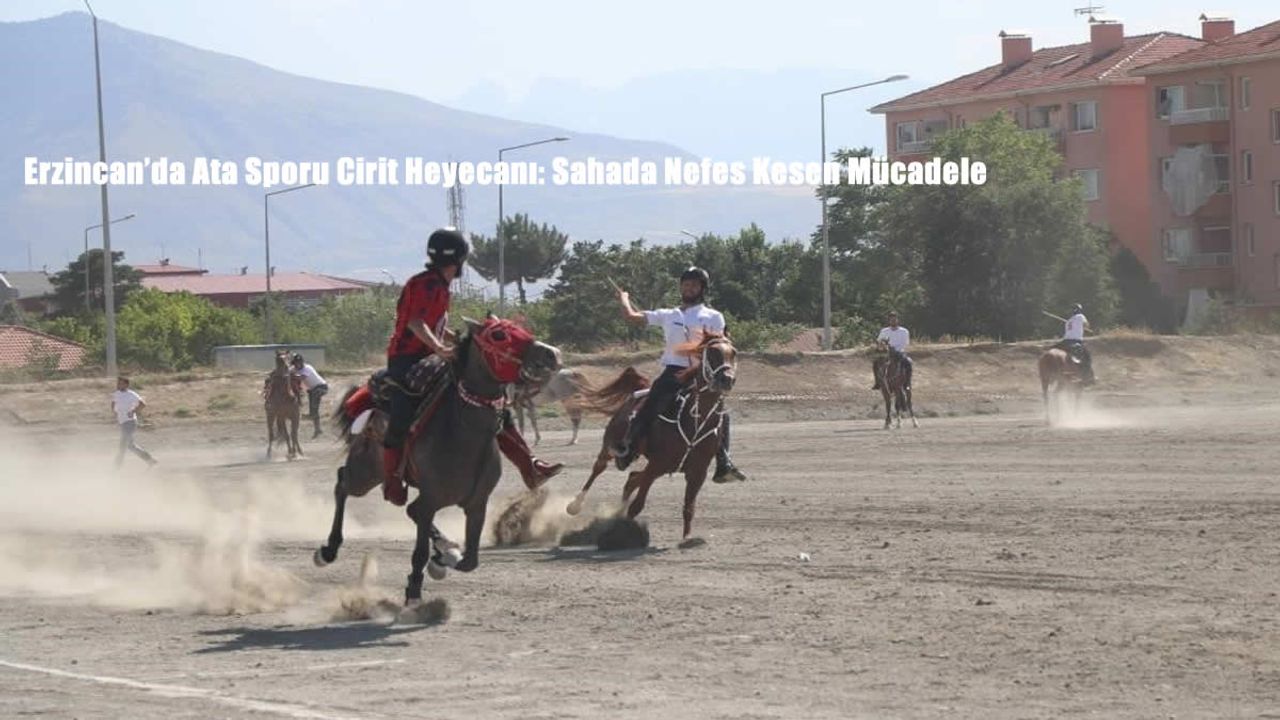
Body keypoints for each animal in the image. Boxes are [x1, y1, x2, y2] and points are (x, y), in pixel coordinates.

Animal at [315, 317, 561, 605]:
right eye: (499, 335)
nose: (551, 353)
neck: (463, 432)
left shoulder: (477, 504)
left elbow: (470, 561)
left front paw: (443, 558)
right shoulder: (432, 499)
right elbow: (420, 551)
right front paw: (414, 589)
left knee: (408, 508)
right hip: (365, 474)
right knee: (342, 483)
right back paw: (328, 550)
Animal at [566, 334, 737, 543]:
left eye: (733, 353)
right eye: (712, 352)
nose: (726, 379)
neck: (694, 421)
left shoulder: (697, 472)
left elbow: (689, 508)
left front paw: (687, 538)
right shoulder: (656, 465)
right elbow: (637, 505)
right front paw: (624, 531)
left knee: (632, 479)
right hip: (611, 446)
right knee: (599, 468)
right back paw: (575, 505)